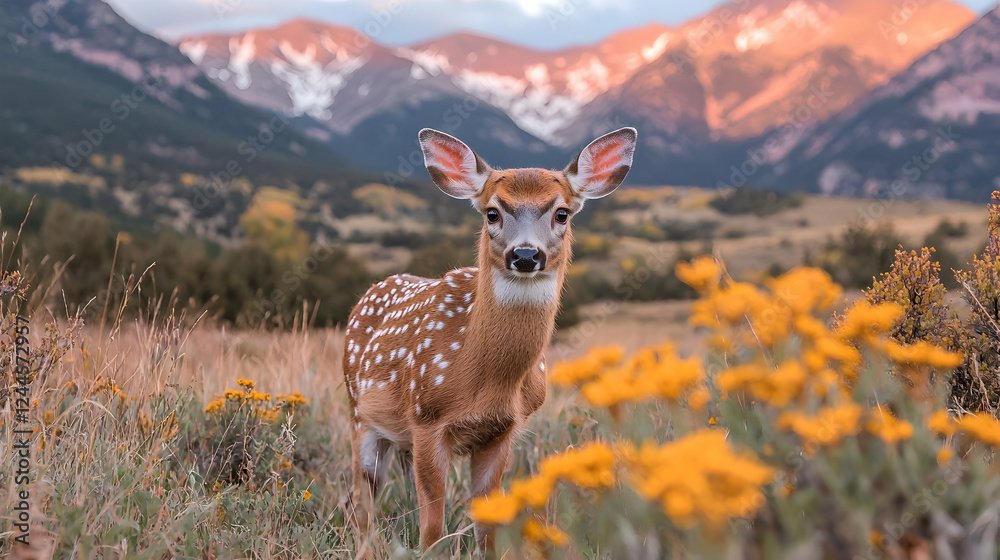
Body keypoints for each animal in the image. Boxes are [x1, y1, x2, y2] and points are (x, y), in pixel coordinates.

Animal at [343, 126, 637, 556]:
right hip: (358, 411)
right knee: (363, 499)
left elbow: (487, 526)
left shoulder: (503, 430)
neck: (487, 381)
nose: (526, 254)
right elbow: (432, 529)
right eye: (492, 212)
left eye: (562, 213)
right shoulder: (426, 416)